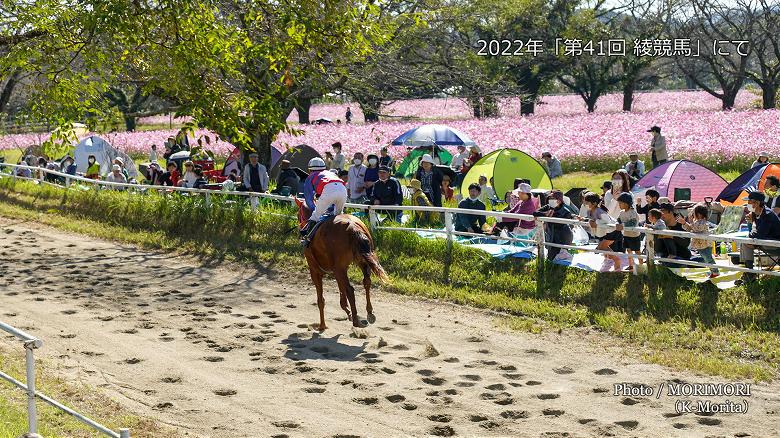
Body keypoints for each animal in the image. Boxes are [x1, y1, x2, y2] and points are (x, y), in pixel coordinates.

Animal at [296, 200, 386, 330]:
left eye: (298, 214)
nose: (301, 227)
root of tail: (353, 227)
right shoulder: (338, 269)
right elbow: (341, 290)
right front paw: (347, 311)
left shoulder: (315, 270)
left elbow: (321, 300)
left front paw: (322, 325)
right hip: (361, 261)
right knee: (366, 282)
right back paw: (369, 313)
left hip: (340, 268)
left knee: (350, 289)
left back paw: (356, 321)